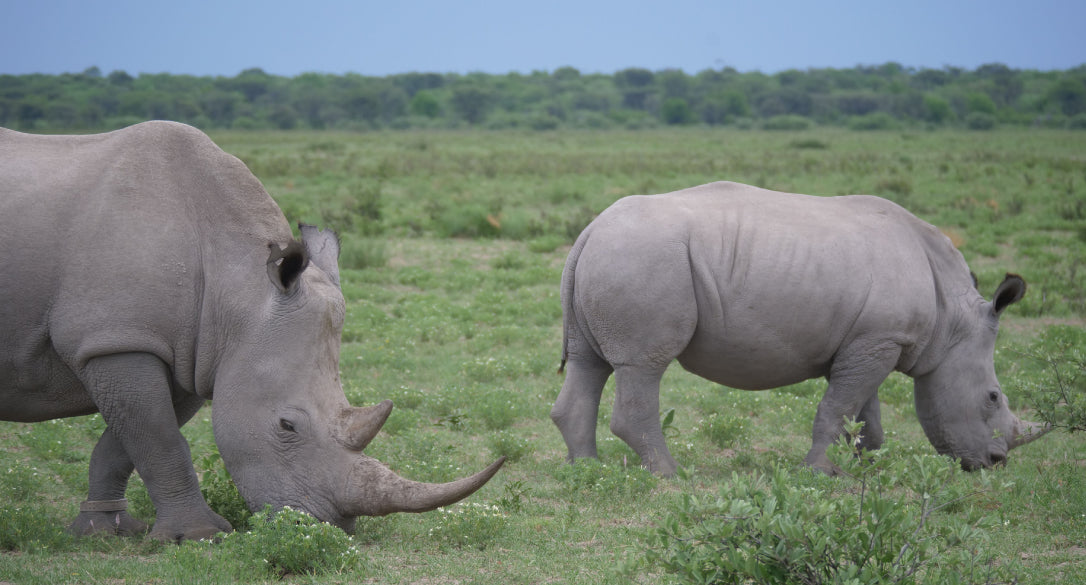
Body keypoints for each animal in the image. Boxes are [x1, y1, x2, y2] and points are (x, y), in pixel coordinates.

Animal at [1, 121, 503, 542]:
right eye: (286, 425)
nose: (325, 526)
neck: (237, 287)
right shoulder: (115, 340)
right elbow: (158, 438)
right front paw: (198, 537)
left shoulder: (192, 352)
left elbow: (129, 439)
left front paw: (104, 531)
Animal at [556, 182, 1046, 475]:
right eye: (993, 397)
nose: (995, 462)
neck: (952, 320)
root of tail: (588, 232)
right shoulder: (878, 340)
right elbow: (838, 409)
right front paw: (819, 472)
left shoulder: (873, 340)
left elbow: (864, 412)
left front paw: (864, 466)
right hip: (644, 259)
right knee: (644, 364)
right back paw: (670, 475)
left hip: (616, 257)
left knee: (589, 362)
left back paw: (588, 471)